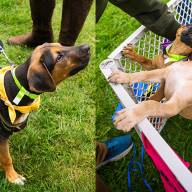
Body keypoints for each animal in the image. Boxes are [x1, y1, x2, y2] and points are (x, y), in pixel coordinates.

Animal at [0, 42, 90, 184]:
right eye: (58, 58)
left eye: (61, 44)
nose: (87, 47)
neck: (20, 89)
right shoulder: (2, 135)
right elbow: (6, 158)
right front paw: (13, 177)